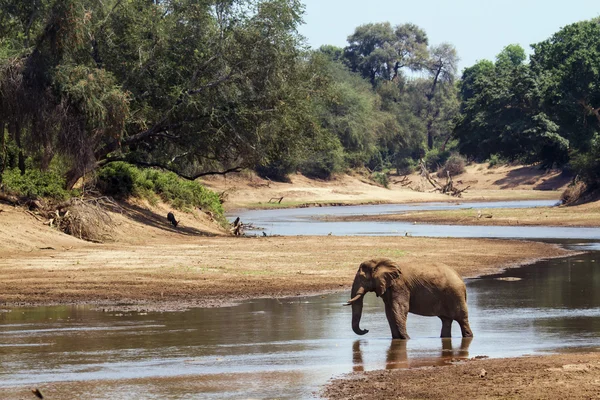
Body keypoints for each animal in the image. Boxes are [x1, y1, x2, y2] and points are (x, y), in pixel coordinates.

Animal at [346, 258, 474, 340]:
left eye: (362, 278)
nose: (366, 330)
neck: (378, 261)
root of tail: (461, 279)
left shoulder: (399, 286)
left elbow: (399, 308)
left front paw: (406, 339)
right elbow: (389, 312)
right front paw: (398, 339)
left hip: (455, 294)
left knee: (462, 319)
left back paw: (468, 337)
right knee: (446, 320)